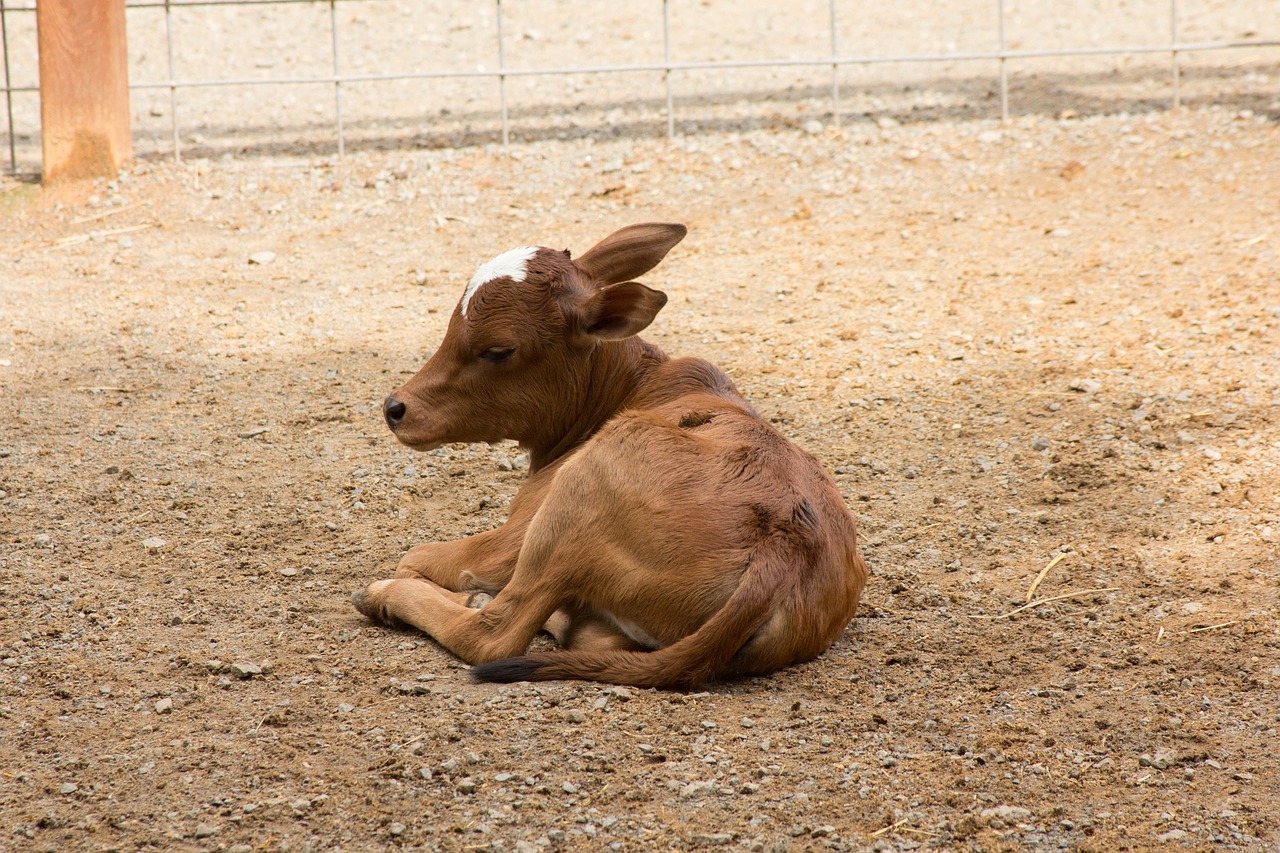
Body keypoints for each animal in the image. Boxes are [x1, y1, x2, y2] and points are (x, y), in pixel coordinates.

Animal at [350, 220, 870, 686]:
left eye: (498, 350)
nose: (396, 408)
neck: (633, 387)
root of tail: (782, 552)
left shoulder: (511, 540)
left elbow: (417, 556)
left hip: (578, 499)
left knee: (494, 633)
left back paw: (395, 597)